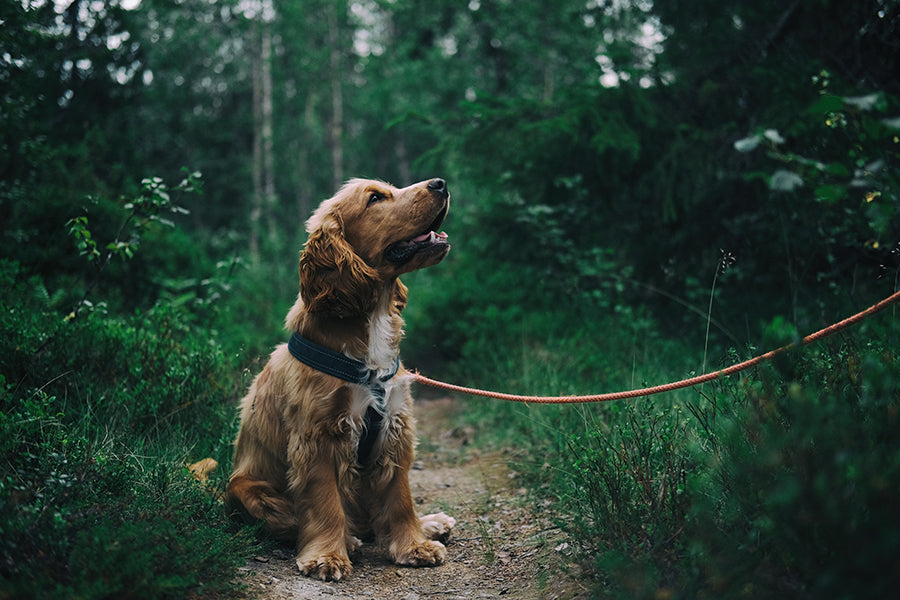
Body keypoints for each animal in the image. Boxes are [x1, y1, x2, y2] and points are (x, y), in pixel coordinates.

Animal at [225, 176, 458, 580]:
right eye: (375, 198)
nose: (440, 183)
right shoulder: (318, 435)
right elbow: (325, 502)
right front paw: (327, 556)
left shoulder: (395, 426)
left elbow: (400, 497)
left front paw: (414, 545)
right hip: (245, 488)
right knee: (294, 520)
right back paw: (349, 540)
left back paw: (429, 523)